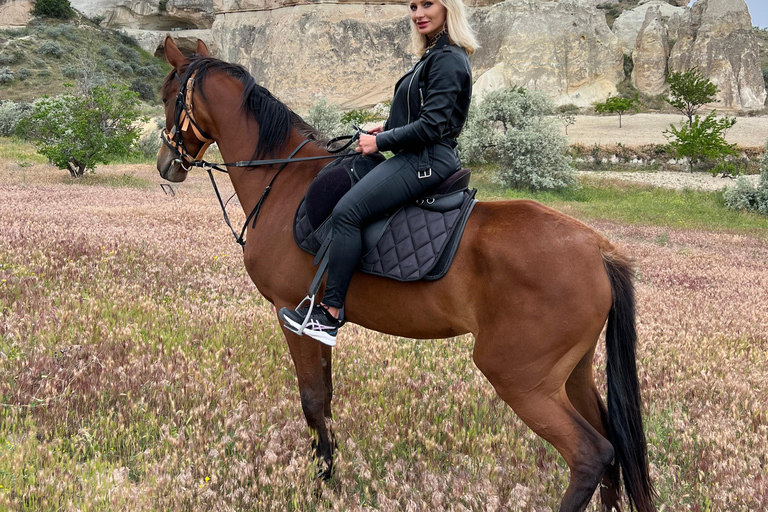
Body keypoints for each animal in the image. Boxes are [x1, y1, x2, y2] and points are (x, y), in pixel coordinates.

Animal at [156, 37, 656, 512]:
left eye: (166, 95)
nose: (166, 164)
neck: (282, 181)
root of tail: (598, 249)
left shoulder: (290, 313)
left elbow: (312, 401)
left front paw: (320, 484)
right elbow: (326, 400)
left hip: (522, 379)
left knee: (592, 454)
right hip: (571, 374)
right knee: (611, 447)